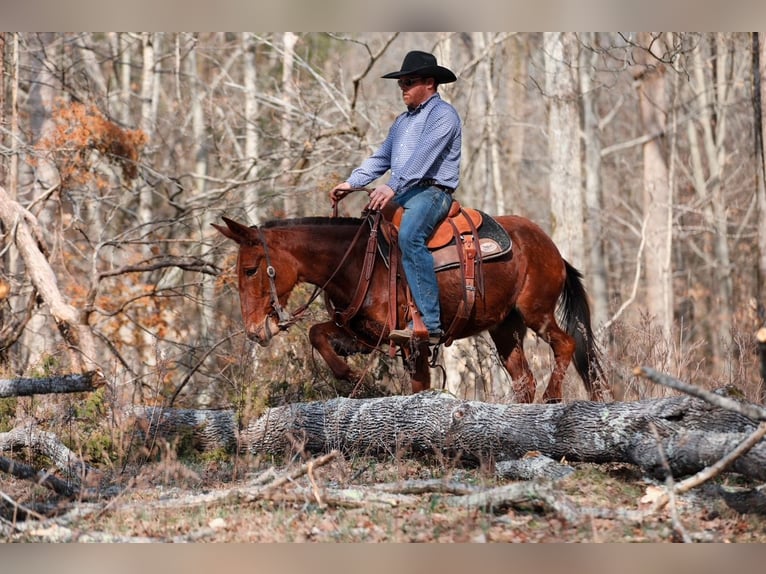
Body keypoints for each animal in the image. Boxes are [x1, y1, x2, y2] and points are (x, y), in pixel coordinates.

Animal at [213, 212, 610, 403]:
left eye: (250, 270)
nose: (255, 331)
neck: (359, 263)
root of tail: (552, 248)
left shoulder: (413, 342)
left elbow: (419, 386)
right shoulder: (365, 335)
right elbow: (317, 334)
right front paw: (354, 377)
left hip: (536, 312)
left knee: (565, 344)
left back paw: (553, 396)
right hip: (505, 328)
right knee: (524, 379)